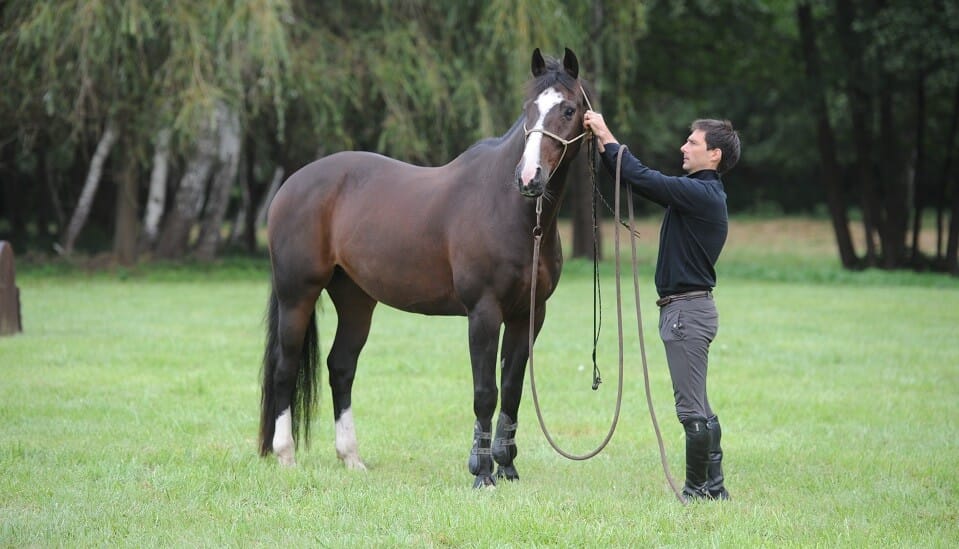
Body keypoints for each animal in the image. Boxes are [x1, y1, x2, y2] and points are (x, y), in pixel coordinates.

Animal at [262, 46, 592, 484]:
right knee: (285, 366)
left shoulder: (529, 315)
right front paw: (482, 473)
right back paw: (285, 455)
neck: (509, 209)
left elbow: (512, 389)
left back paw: (351, 458)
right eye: (528, 109)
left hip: (355, 299)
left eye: (569, 109)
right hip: (297, 294)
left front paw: (507, 468)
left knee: (341, 367)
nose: (529, 177)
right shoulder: (484, 312)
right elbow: (485, 392)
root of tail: (290, 186)